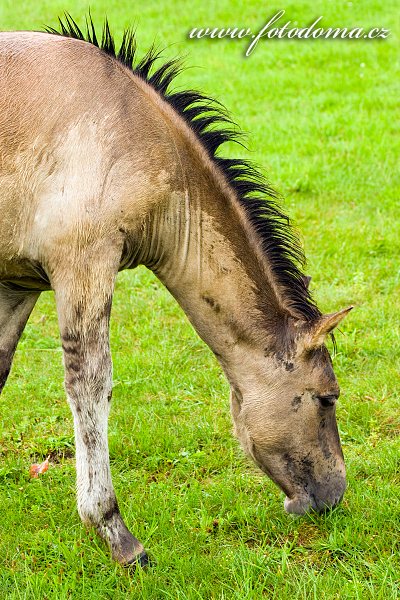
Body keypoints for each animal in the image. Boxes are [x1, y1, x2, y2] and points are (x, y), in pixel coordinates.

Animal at [0, 16, 354, 564]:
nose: (335, 494)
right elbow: (91, 387)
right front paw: (116, 534)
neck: (130, 128)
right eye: (326, 398)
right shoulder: (84, 265)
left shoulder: (19, 282)